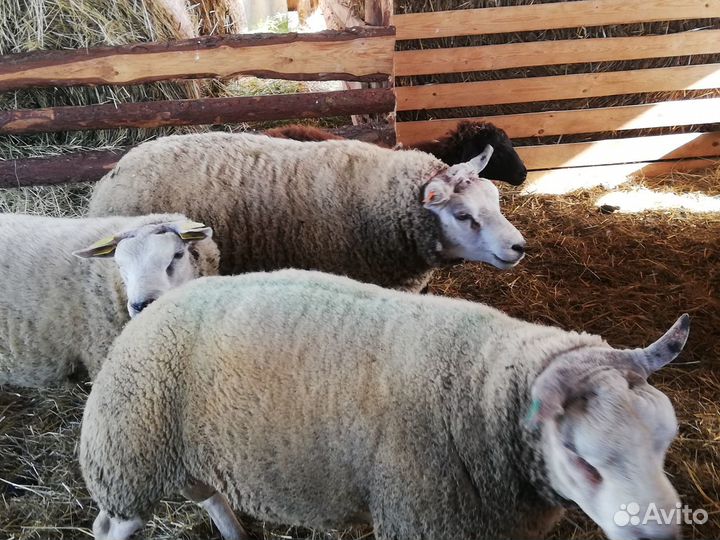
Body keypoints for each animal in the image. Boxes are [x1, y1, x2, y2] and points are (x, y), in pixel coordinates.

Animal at [80, 269, 688, 540]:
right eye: (583, 461)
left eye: (666, 446)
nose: (660, 535)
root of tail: (157, 304)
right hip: (128, 459)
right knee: (111, 526)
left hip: (184, 453)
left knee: (207, 494)